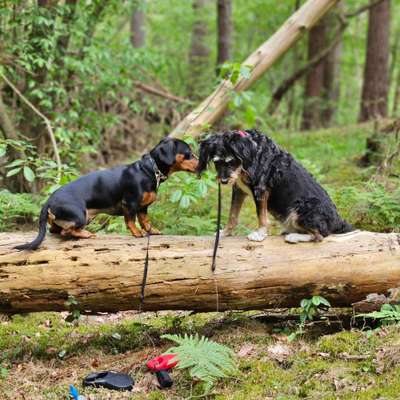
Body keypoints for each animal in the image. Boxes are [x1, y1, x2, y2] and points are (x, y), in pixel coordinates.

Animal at [14, 138, 199, 250]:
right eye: (188, 153)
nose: (201, 164)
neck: (149, 170)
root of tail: (49, 201)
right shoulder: (129, 203)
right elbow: (131, 221)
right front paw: (136, 233)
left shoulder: (143, 207)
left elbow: (145, 221)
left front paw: (151, 230)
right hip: (81, 215)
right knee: (66, 232)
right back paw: (86, 234)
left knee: (56, 230)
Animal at [198, 130, 352, 242]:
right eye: (217, 162)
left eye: (231, 161)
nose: (223, 181)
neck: (252, 152)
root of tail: (337, 220)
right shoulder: (239, 190)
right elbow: (232, 215)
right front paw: (225, 232)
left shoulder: (260, 189)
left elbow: (261, 216)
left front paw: (259, 234)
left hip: (302, 208)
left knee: (321, 235)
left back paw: (294, 236)